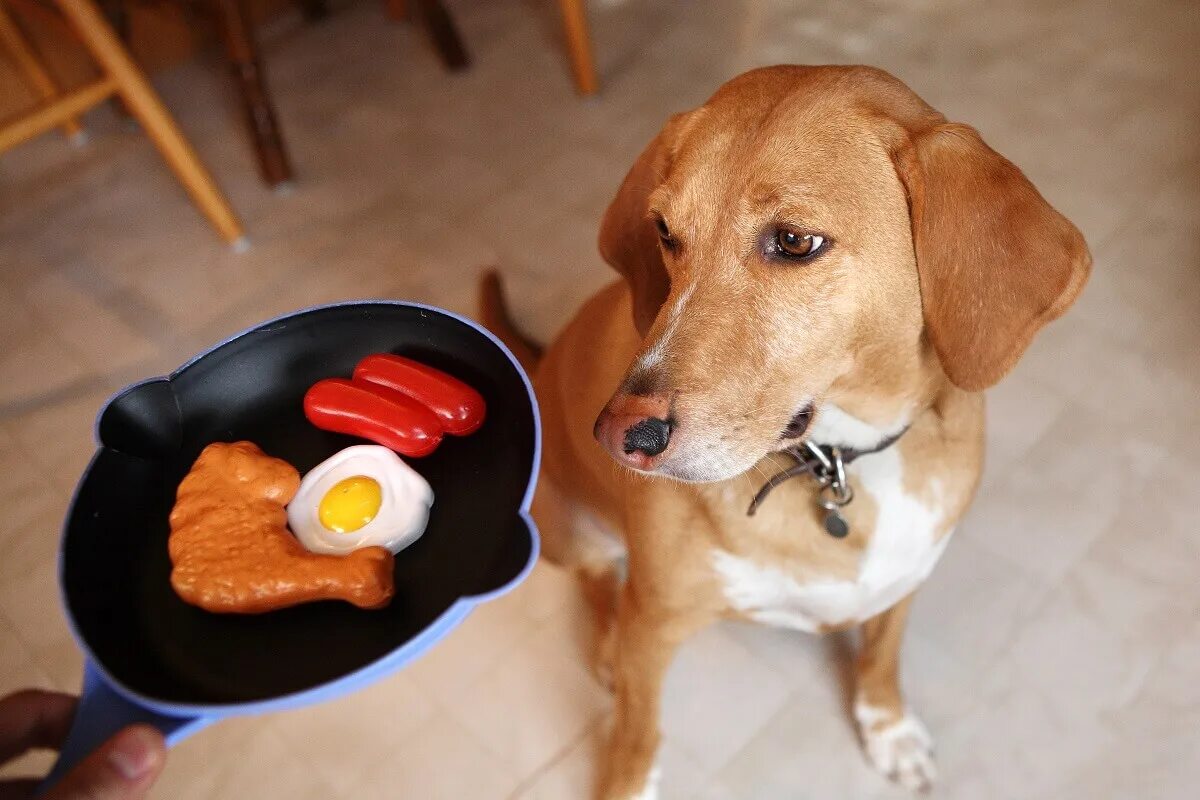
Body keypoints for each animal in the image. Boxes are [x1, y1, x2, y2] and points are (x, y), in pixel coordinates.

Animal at [480, 65, 1089, 796]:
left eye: (795, 242)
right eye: (665, 231)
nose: (618, 435)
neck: (843, 460)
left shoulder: (907, 573)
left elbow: (882, 657)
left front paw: (887, 727)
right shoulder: (656, 621)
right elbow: (637, 731)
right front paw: (626, 777)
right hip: (566, 532)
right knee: (600, 584)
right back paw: (606, 648)